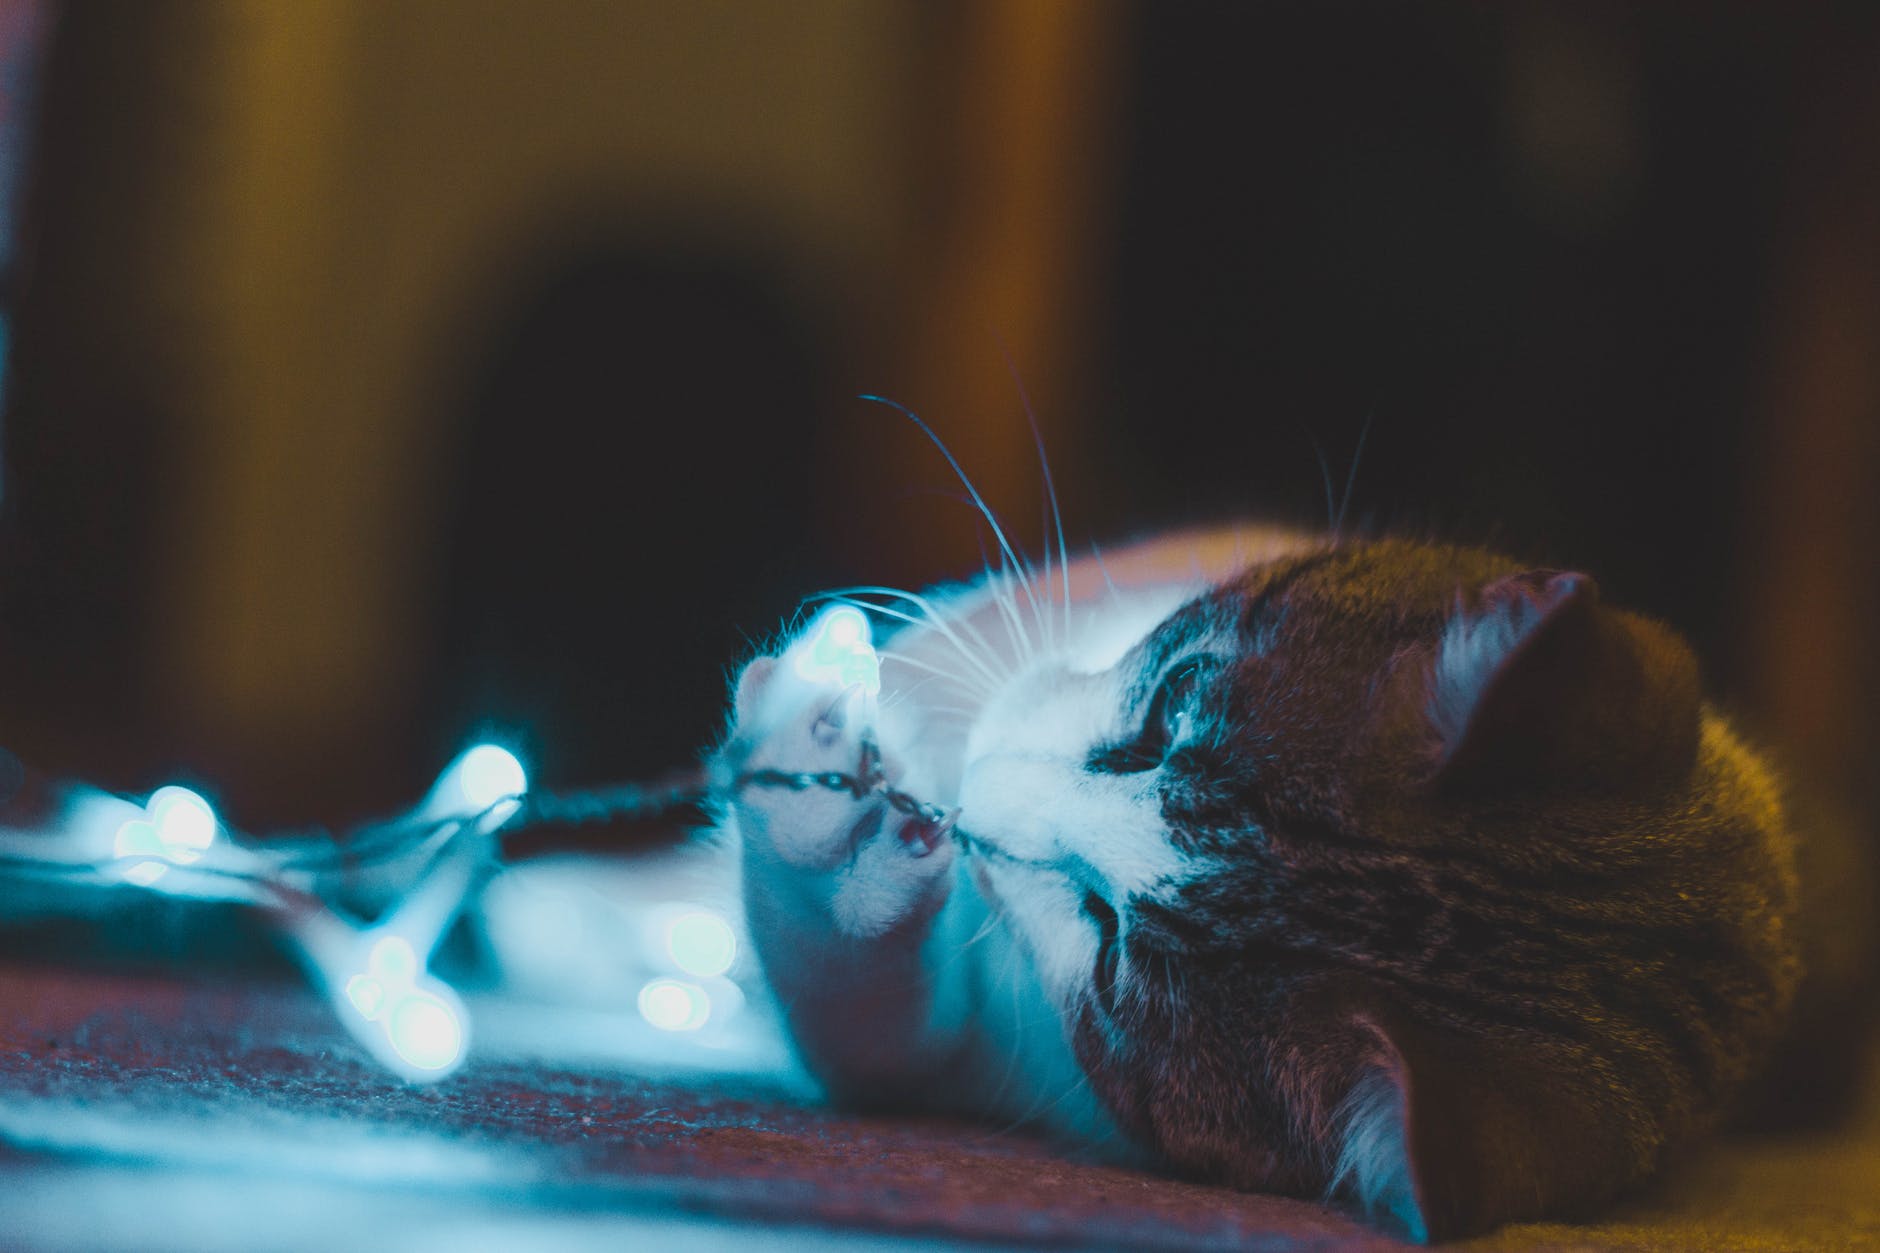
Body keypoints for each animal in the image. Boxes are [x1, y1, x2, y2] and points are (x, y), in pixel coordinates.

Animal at [710, 515, 1797, 1241]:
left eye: (1108, 947)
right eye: (1174, 699)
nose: (975, 791)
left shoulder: (983, 1056)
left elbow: (863, 1030)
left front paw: (818, 803)